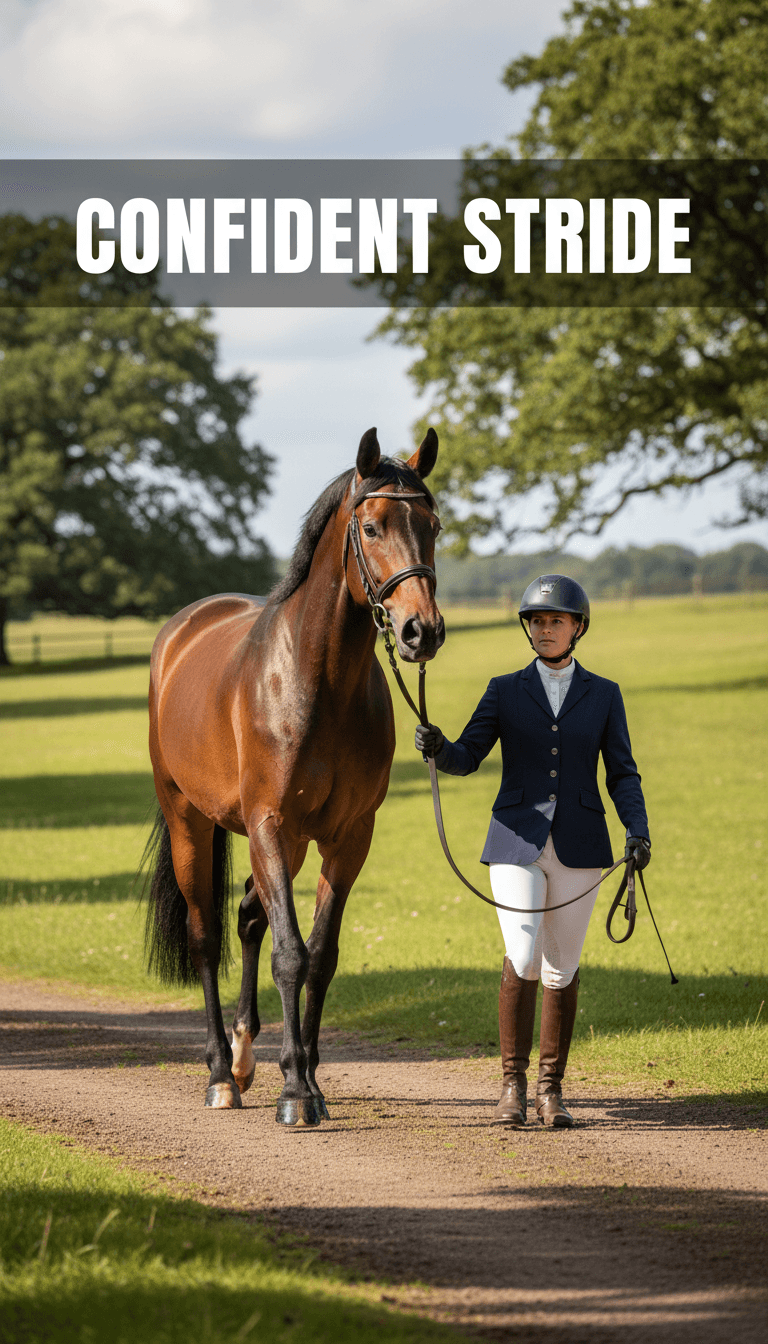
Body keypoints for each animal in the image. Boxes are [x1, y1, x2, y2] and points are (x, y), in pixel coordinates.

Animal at [143, 427, 444, 1125]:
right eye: (371, 525)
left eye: (433, 525)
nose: (421, 631)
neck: (317, 682)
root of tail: (179, 631)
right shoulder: (269, 824)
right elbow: (290, 954)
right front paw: (294, 1093)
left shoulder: (346, 837)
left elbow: (321, 958)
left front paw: (306, 1076)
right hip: (191, 820)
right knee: (206, 936)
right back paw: (220, 1075)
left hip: (290, 842)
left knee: (248, 916)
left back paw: (245, 1056)